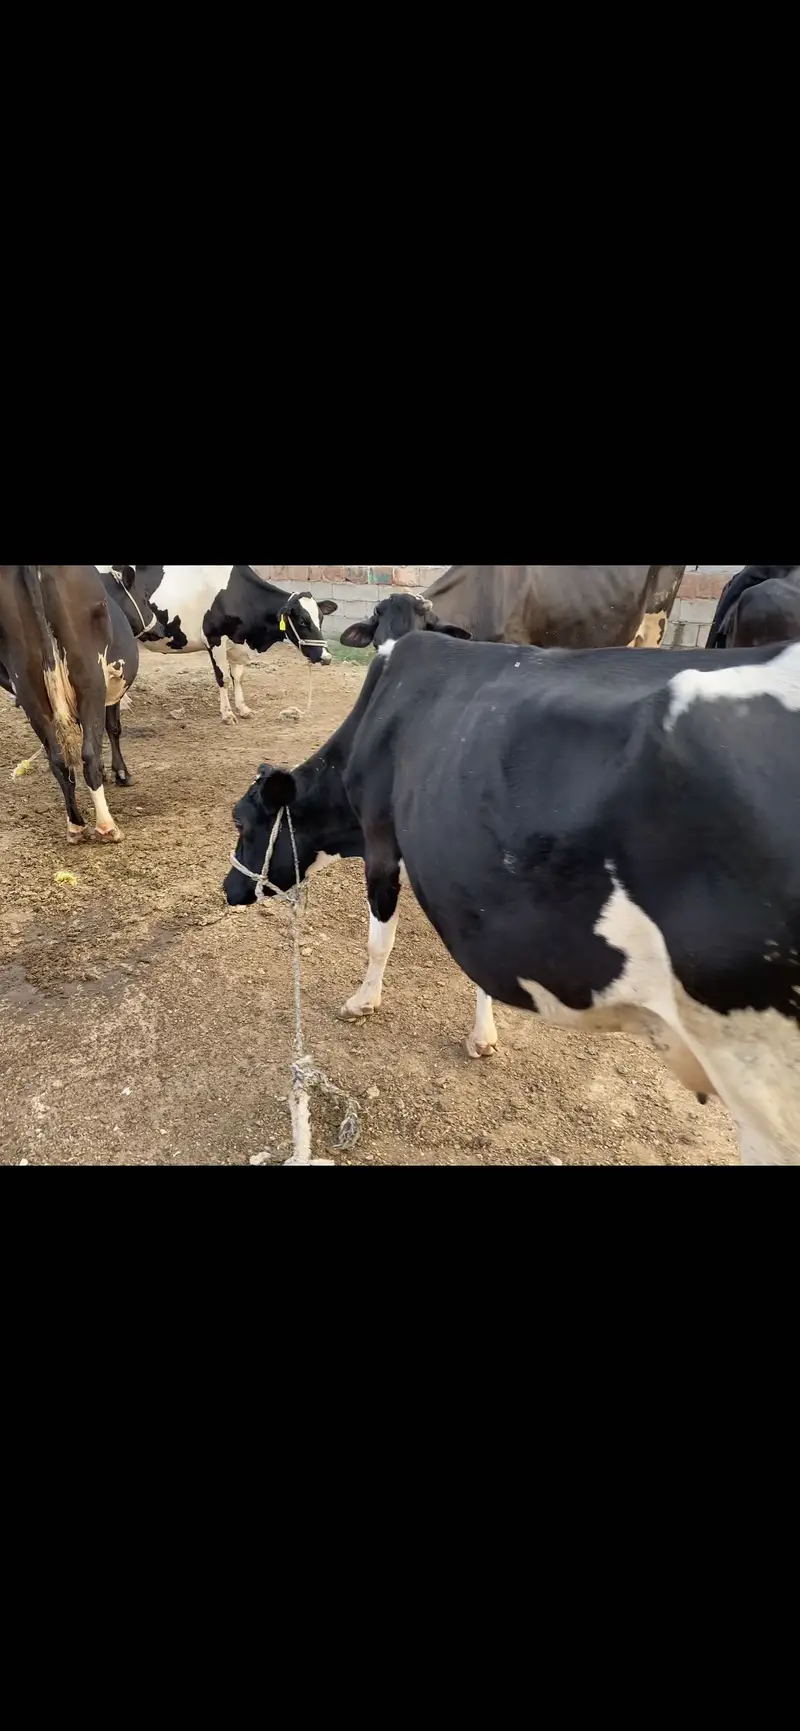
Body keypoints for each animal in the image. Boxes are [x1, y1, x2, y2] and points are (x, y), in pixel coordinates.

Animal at [0, 565, 161, 839]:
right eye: (143, 597)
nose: (158, 625)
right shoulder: (110, 689)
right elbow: (113, 728)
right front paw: (121, 774)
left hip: (30, 689)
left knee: (58, 760)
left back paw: (75, 825)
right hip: (90, 681)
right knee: (88, 754)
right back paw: (107, 826)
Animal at [97, 566, 338, 722]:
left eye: (321, 618)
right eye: (303, 621)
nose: (326, 657)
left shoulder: (237, 643)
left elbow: (238, 677)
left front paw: (243, 708)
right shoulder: (214, 639)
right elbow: (223, 678)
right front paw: (228, 714)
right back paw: (122, 701)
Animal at [225, 632, 800, 1166]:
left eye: (241, 821)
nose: (228, 890)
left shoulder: (382, 842)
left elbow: (379, 939)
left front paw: (362, 1003)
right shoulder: (470, 878)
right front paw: (484, 1035)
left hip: (756, 1074)